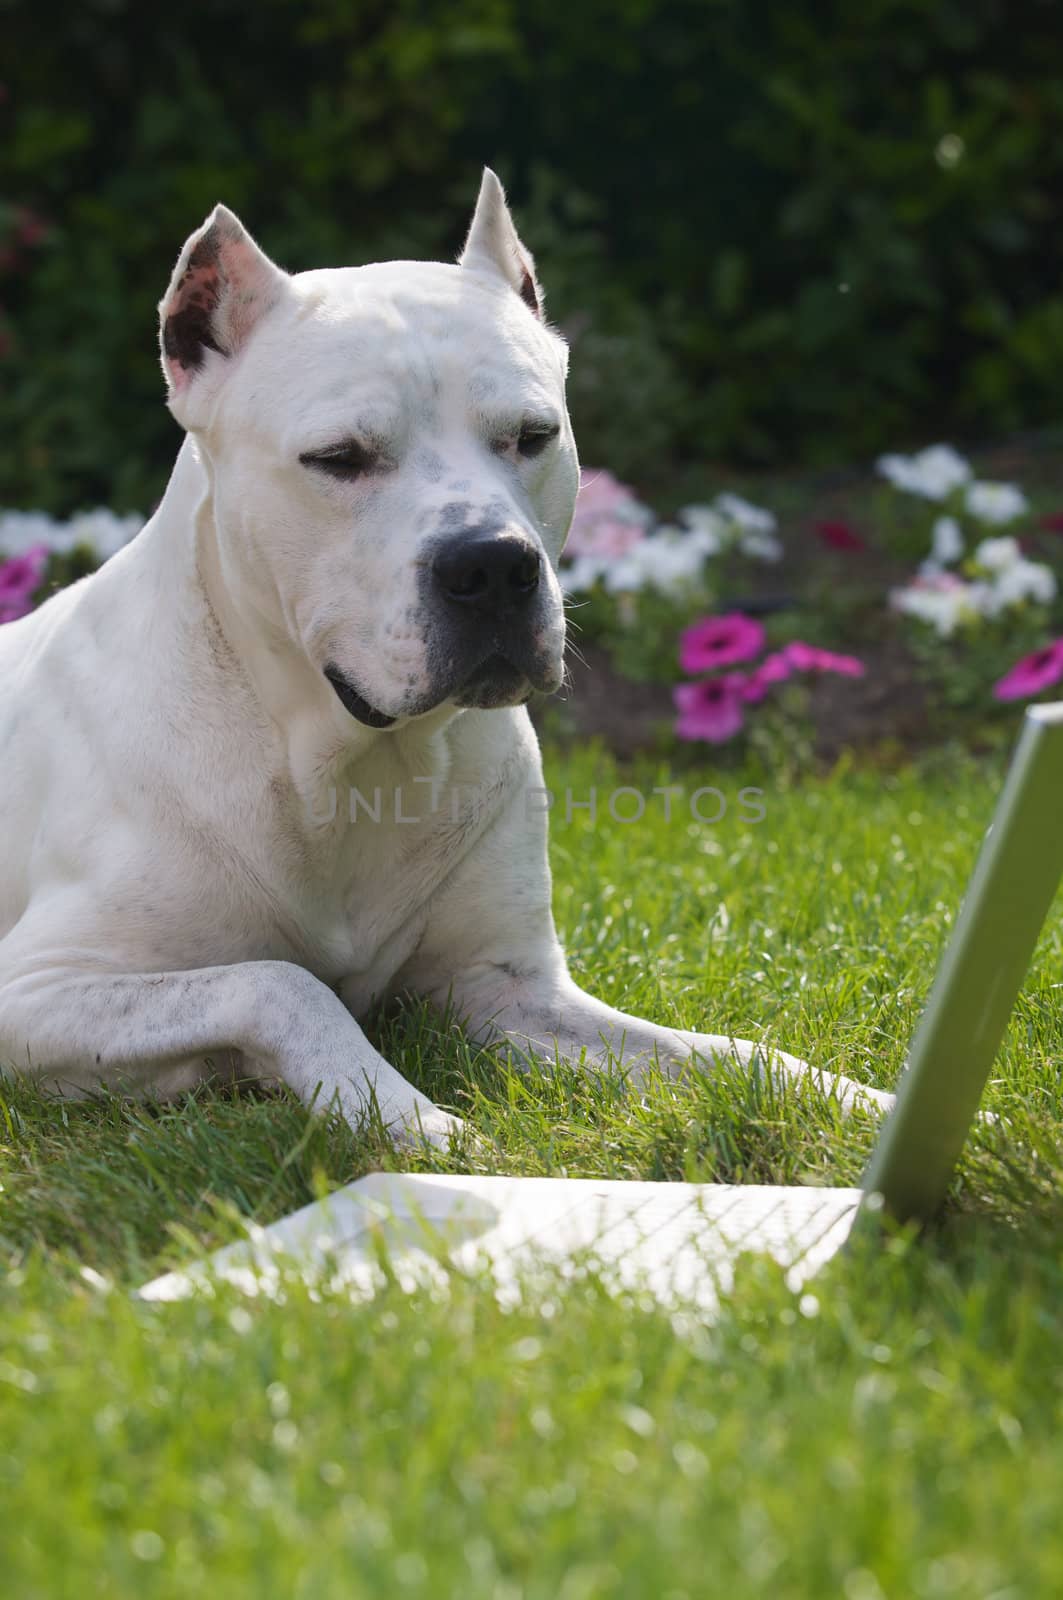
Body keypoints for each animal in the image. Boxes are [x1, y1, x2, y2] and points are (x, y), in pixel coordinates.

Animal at [0, 172, 896, 1139]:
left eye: (533, 435)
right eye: (338, 458)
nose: (492, 565)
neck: (347, 760)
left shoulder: (509, 990)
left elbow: (731, 1054)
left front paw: (871, 1103)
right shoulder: (35, 992)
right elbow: (280, 985)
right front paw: (415, 1120)